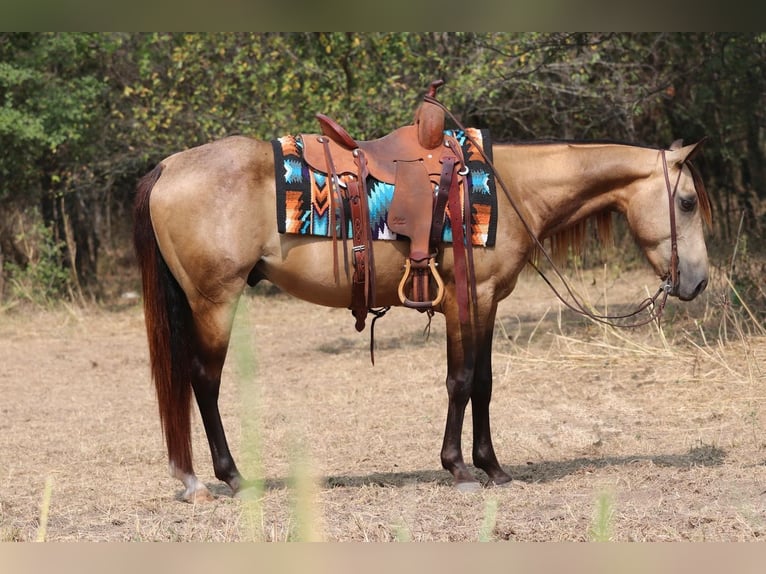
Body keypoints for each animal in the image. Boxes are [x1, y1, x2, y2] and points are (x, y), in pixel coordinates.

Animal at [133, 133, 711, 502]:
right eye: (686, 202)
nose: (698, 282)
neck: (508, 190)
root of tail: (169, 166)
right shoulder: (467, 299)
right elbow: (461, 381)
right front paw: (460, 468)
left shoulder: (486, 303)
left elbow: (483, 382)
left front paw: (492, 467)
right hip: (214, 301)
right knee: (204, 381)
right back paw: (226, 478)